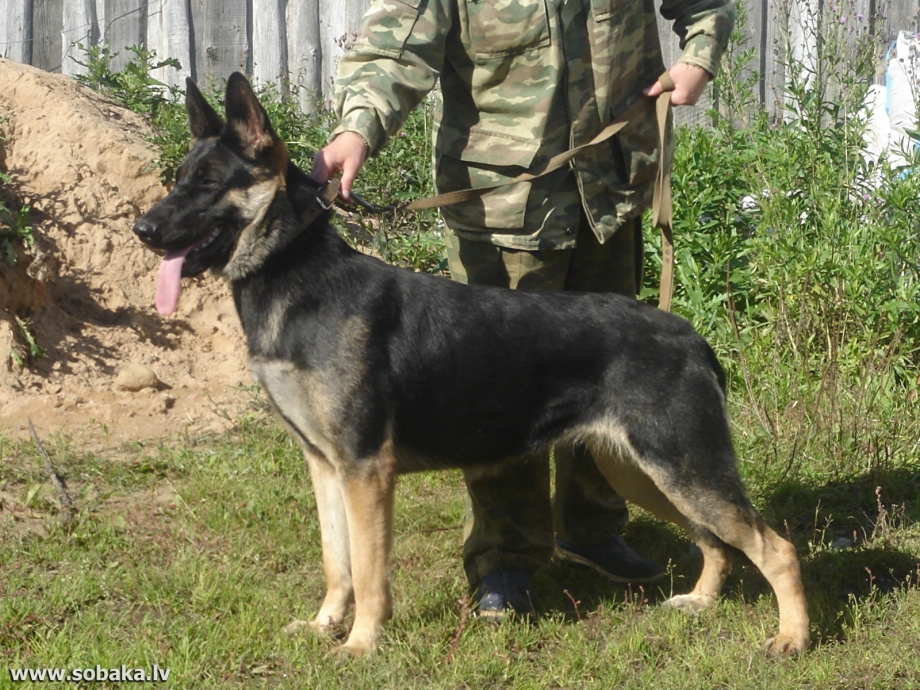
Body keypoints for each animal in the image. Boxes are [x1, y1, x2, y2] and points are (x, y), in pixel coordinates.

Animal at [133, 74, 808, 656]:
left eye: (209, 182)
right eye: (179, 178)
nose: (142, 228)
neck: (295, 271)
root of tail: (690, 336)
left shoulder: (365, 471)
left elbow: (370, 574)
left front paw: (361, 645)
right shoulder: (325, 467)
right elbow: (336, 561)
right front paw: (326, 625)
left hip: (680, 469)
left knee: (776, 547)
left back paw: (792, 638)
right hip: (644, 471)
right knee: (716, 540)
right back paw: (702, 601)